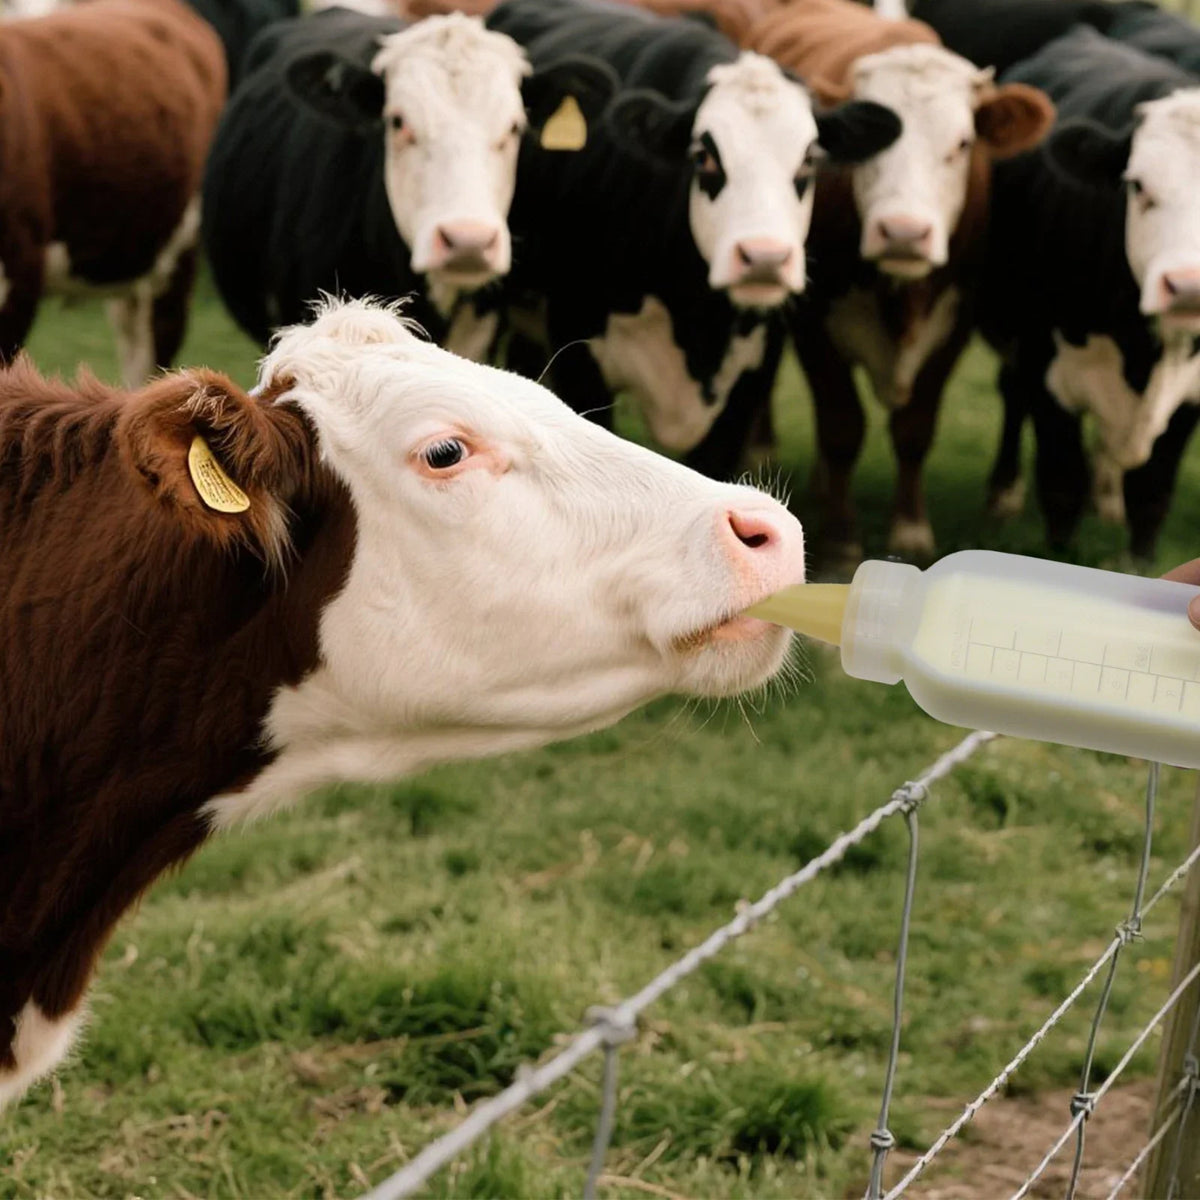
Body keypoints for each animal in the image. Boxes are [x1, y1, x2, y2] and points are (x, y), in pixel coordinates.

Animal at [478, 0, 900, 458]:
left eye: (809, 158)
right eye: (704, 155)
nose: (765, 257)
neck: (697, 317)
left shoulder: (749, 386)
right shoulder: (578, 357)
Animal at [712, 0, 1053, 565]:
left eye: (962, 144)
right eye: (870, 151)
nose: (904, 232)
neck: (902, 294)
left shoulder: (954, 323)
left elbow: (914, 429)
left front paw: (910, 530)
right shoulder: (815, 327)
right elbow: (842, 425)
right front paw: (842, 537)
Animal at [981, 28, 1200, 560]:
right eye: (1137, 185)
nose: (1188, 286)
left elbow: (1152, 492)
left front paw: (1139, 563)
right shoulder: (1044, 368)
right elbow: (1062, 484)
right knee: (1011, 396)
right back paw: (1002, 496)